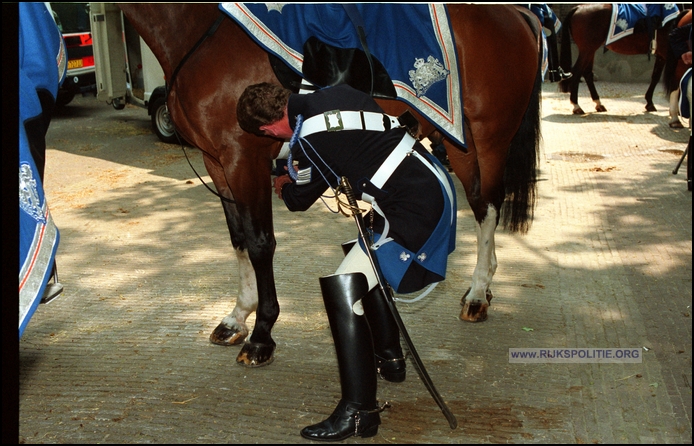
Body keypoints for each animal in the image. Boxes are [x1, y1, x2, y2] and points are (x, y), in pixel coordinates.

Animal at [118, 3, 544, 368]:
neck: (200, 33)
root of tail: (518, 13)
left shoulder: (244, 159)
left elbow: (260, 243)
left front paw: (262, 335)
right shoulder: (217, 162)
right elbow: (239, 240)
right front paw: (237, 318)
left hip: (487, 141)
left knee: (488, 206)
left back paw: (477, 294)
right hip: (463, 144)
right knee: (480, 205)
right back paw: (482, 288)